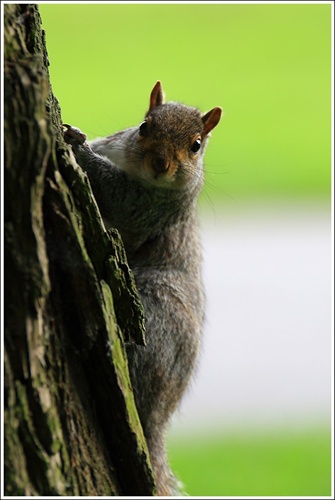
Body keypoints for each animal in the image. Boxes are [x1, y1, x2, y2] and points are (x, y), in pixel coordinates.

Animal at [64, 80, 223, 494]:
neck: (138, 170)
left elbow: (117, 196)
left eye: (196, 145)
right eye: (144, 126)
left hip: (158, 311)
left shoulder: (149, 207)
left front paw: (77, 149)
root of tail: (155, 421)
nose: (160, 163)